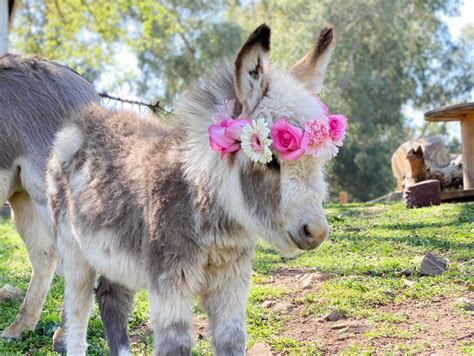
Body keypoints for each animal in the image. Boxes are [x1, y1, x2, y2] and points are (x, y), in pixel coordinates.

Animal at [46, 23, 336, 354]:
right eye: (271, 158)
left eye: (320, 159)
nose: (316, 232)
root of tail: (83, 117)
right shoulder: (171, 282)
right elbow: (177, 343)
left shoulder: (230, 281)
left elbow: (232, 338)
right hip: (74, 250)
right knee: (78, 311)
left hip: (114, 255)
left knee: (111, 299)